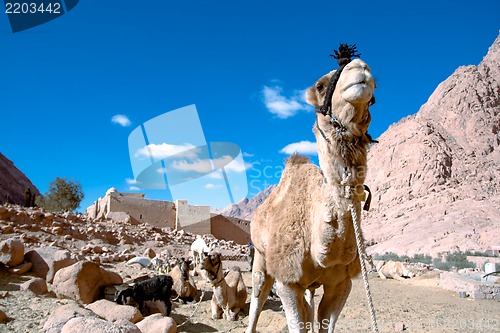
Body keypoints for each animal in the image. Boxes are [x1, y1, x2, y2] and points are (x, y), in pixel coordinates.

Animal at [246, 44, 376, 332]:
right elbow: (297, 323)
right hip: (260, 256)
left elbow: (325, 321)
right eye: (320, 85)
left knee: (309, 305)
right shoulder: (287, 279)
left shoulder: (342, 283)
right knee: (258, 294)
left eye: (373, 97)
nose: (361, 68)